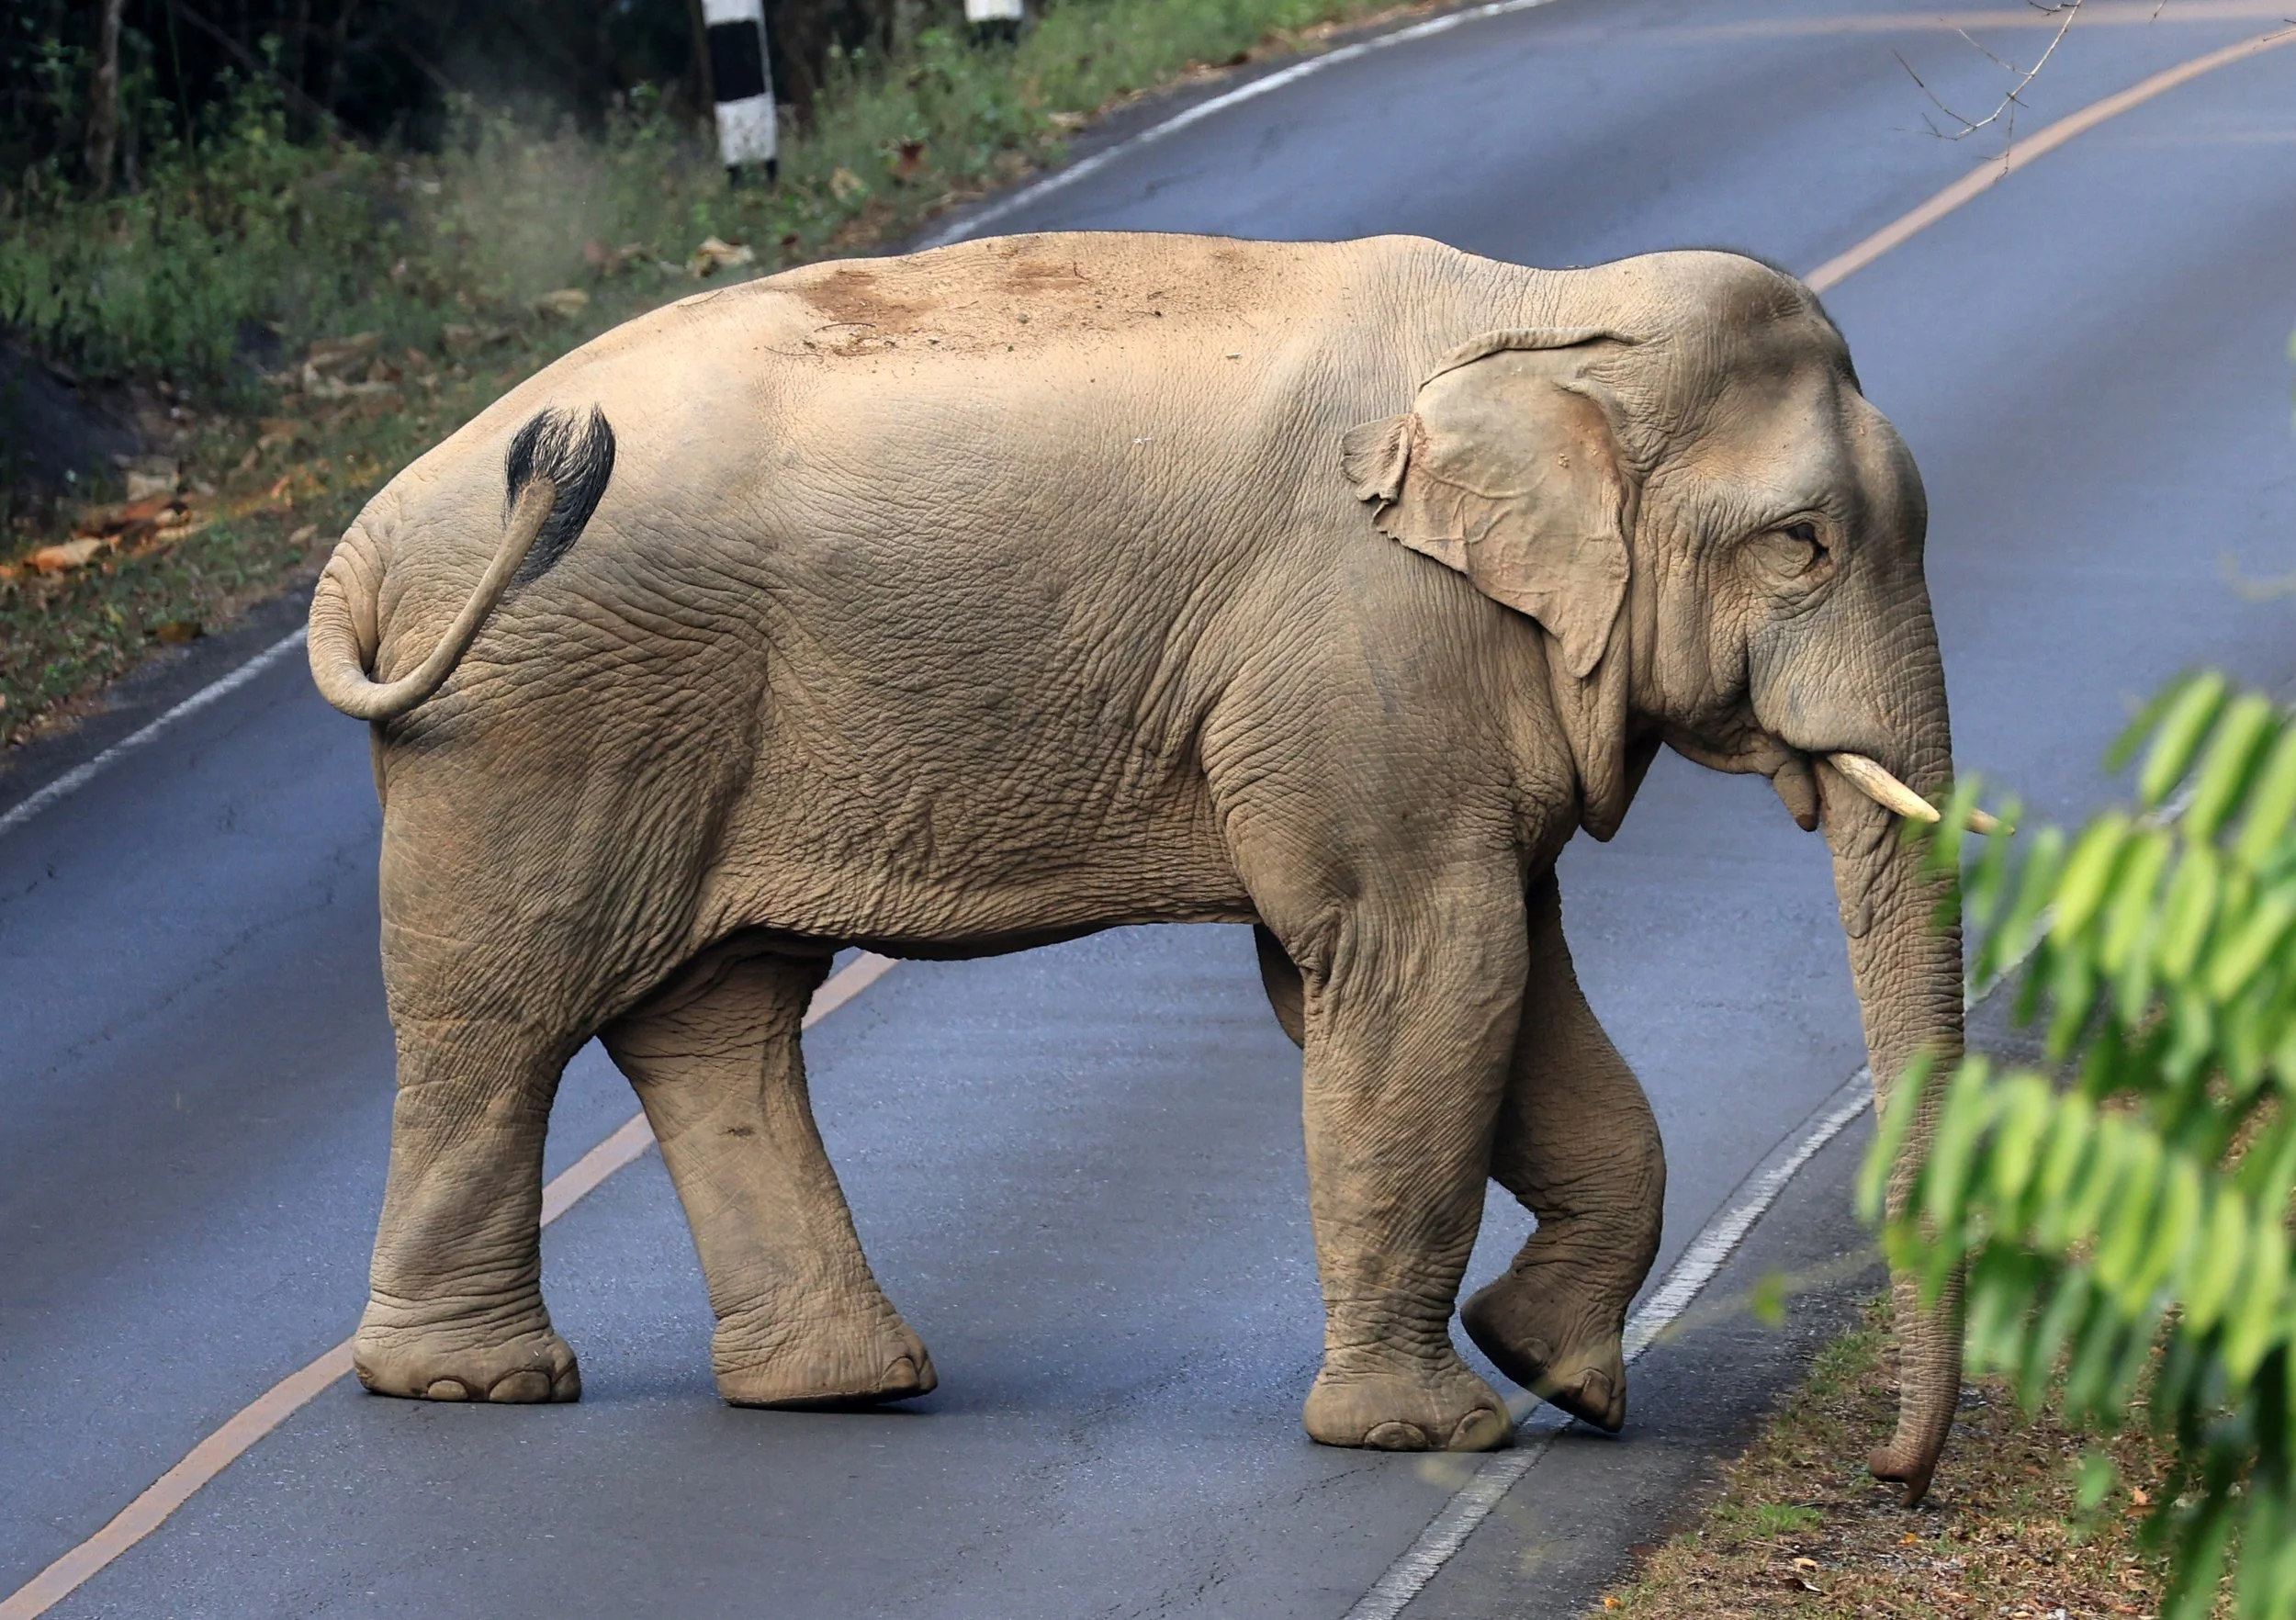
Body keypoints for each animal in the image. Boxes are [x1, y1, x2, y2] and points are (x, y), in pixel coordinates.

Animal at [308, 230, 1968, 1498]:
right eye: (1804, 545)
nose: (1888, 1476)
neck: (1547, 311)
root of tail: (370, 538)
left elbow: (1496, 969)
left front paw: (1557, 1368)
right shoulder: (1364, 652)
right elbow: (1425, 964)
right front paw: (1425, 1431)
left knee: (717, 1016)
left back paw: (839, 1386)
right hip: (542, 718)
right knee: (504, 1017)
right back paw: (473, 1386)